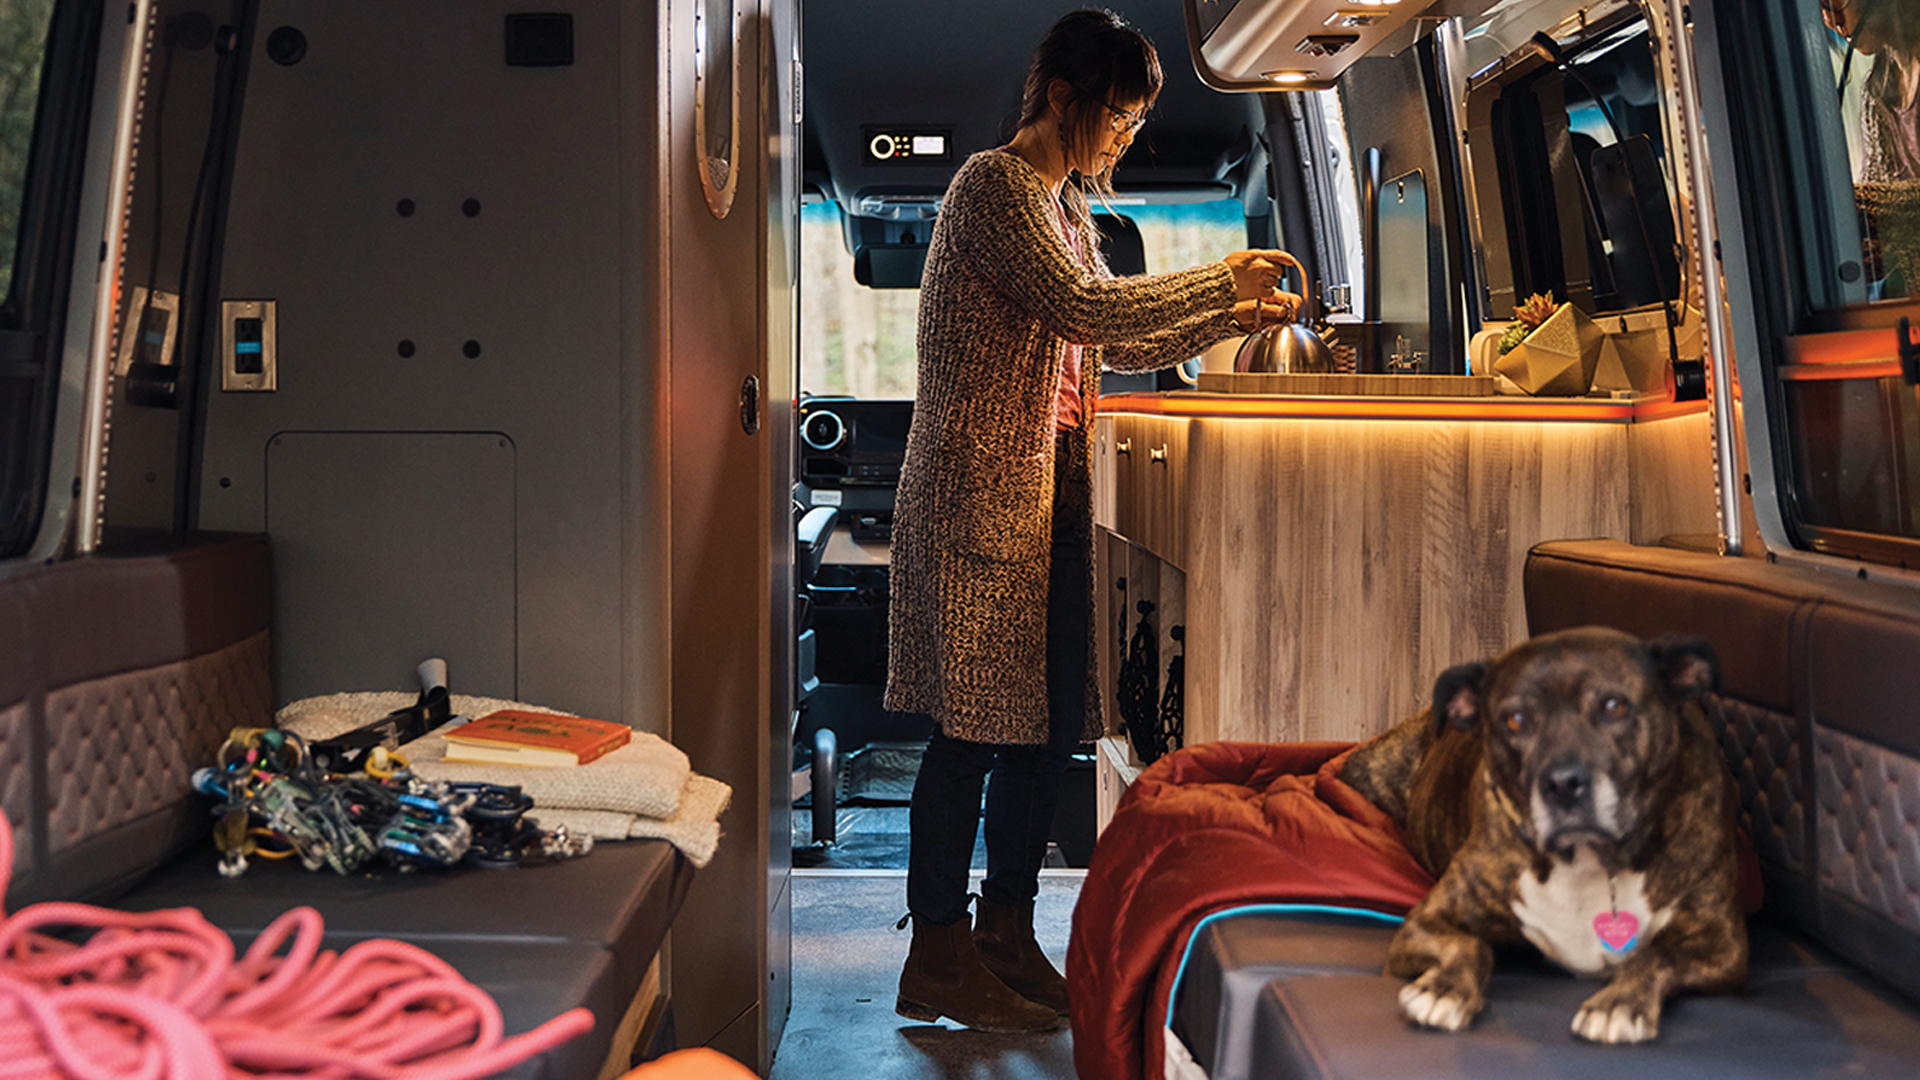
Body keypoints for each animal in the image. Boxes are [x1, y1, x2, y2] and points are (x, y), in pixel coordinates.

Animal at [1344, 626, 1751, 1037]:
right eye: (1515, 719)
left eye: (1614, 706)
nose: (1562, 784)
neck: (1587, 858)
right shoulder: (1421, 922)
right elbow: (1471, 944)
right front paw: (1444, 989)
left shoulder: (1724, 944)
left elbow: (1658, 955)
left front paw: (1619, 1004)